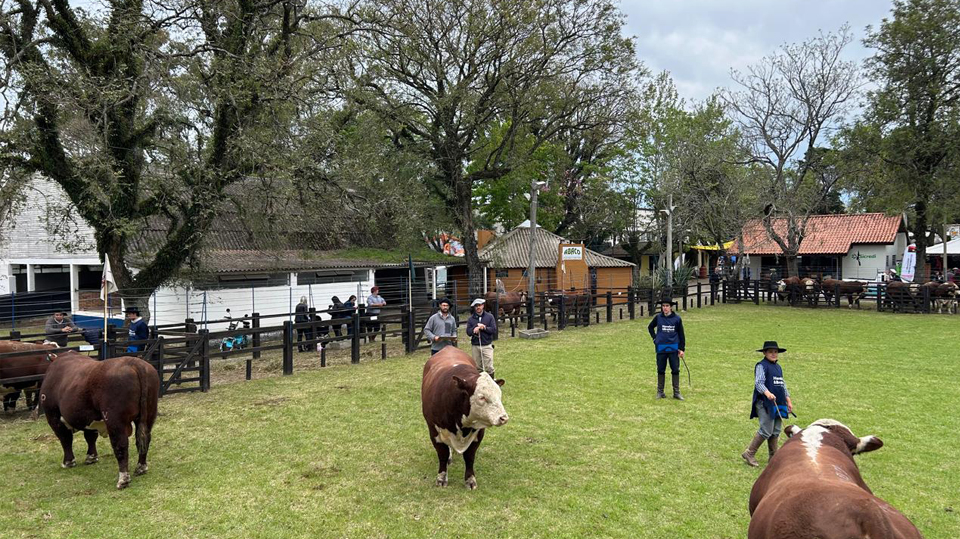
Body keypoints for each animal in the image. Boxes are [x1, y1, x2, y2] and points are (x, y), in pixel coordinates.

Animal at [39, 351, 159, 490]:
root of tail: (135, 363)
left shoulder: (54, 417)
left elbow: (66, 439)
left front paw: (68, 462)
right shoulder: (89, 418)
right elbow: (90, 437)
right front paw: (91, 457)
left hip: (115, 420)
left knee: (121, 445)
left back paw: (123, 479)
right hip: (149, 414)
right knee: (145, 439)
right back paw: (141, 467)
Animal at [421, 346, 508, 490]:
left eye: (499, 394)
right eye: (481, 397)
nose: (503, 418)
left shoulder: (479, 431)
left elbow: (469, 457)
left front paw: (470, 480)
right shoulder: (433, 431)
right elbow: (442, 454)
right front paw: (441, 478)